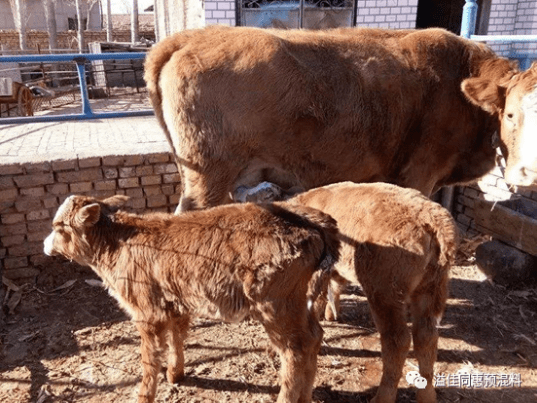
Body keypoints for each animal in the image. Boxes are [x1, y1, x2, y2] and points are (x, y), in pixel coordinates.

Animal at [45, 196, 340, 403]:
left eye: (59, 227)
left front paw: (145, 395)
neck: (118, 245)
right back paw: (307, 396)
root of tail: (316, 222)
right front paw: (175, 374)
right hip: (298, 302)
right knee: (314, 337)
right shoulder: (176, 302)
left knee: (295, 351)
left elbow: (148, 359)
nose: (45, 245)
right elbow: (176, 337)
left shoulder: (147, 312)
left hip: (275, 305)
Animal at [286, 183, 458, 403]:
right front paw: (331, 314)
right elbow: (334, 287)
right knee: (426, 336)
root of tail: (431, 220)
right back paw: (427, 395)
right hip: (430, 289)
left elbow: (319, 298)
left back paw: (383, 396)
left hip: (385, 294)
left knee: (397, 340)